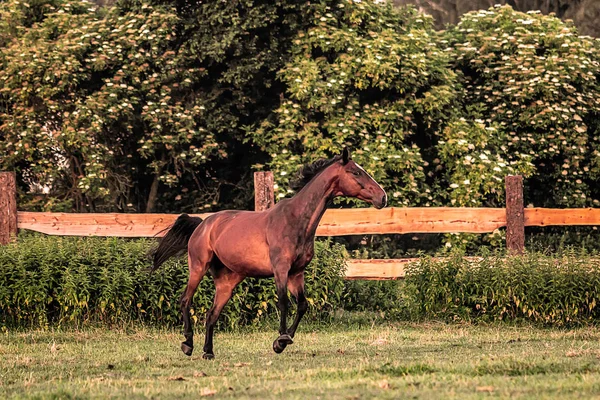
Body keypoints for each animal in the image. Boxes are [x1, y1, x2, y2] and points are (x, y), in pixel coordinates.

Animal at [148, 147, 386, 360]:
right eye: (356, 172)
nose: (382, 198)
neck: (295, 220)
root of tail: (202, 224)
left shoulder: (296, 273)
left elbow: (302, 305)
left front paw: (283, 341)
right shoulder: (281, 269)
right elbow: (283, 302)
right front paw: (281, 340)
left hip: (227, 281)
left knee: (211, 314)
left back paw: (208, 352)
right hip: (198, 267)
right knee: (185, 300)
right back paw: (188, 343)